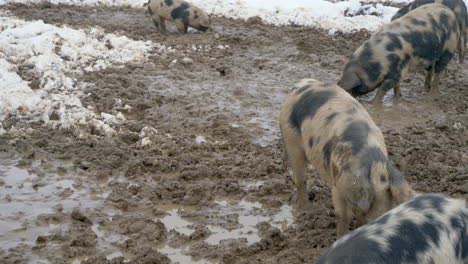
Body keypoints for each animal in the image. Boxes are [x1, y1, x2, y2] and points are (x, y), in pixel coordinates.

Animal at [278, 79, 414, 236]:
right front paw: (341, 236)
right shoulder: (338, 183)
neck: (373, 162)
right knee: (300, 179)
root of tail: (302, 84)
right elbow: (343, 215)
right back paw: (306, 210)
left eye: (389, 204)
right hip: (291, 140)